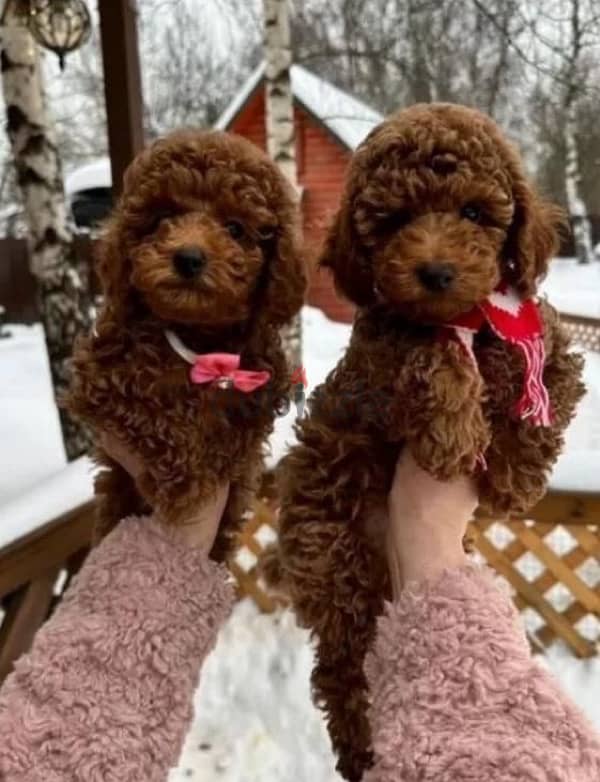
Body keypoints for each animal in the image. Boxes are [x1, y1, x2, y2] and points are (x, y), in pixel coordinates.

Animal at [68, 130, 308, 556]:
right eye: (162, 219)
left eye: (235, 228)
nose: (188, 257)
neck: (198, 339)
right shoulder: (100, 375)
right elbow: (150, 411)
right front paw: (185, 480)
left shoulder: (258, 382)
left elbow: (238, 433)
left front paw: (215, 455)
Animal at [276, 104, 584, 782]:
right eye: (394, 221)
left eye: (473, 212)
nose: (436, 272)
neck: (464, 317)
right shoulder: (378, 372)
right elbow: (431, 354)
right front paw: (455, 432)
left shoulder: (541, 331)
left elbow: (550, 377)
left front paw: (517, 471)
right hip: (331, 549)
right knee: (343, 662)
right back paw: (358, 742)